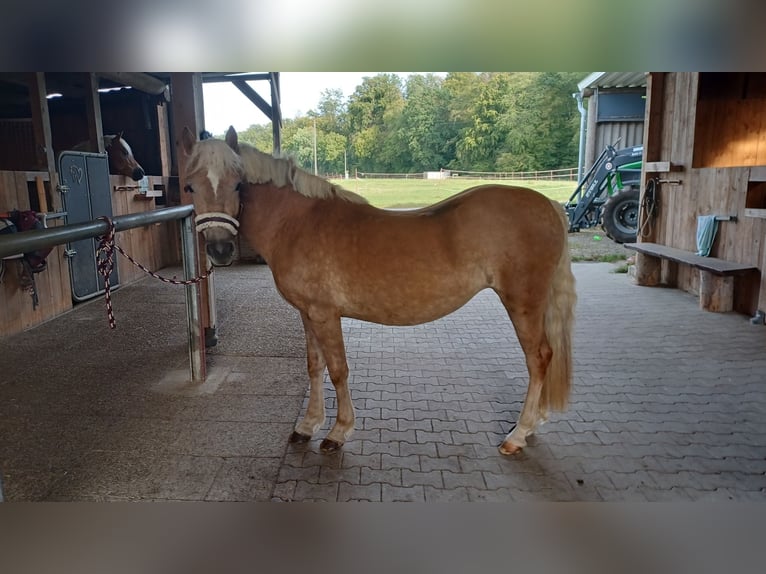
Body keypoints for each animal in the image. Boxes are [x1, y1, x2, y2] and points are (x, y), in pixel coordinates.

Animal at [180, 127, 576, 460]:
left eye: (237, 185)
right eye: (189, 187)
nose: (220, 250)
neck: (297, 222)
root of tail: (549, 206)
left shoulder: (325, 314)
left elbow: (338, 370)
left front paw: (338, 432)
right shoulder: (307, 314)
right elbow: (314, 366)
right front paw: (307, 426)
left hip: (523, 303)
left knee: (539, 358)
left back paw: (518, 434)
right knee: (545, 357)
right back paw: (532, 424)